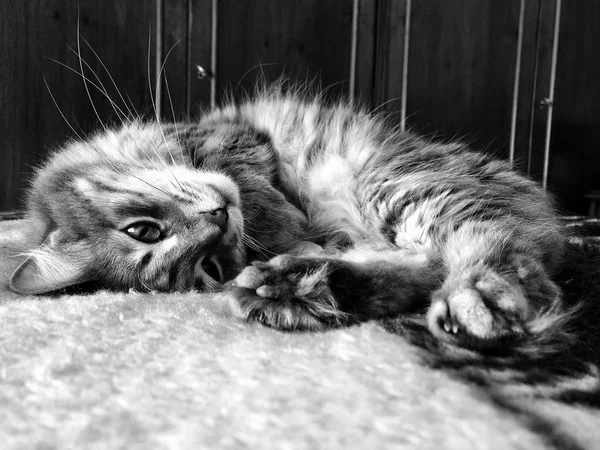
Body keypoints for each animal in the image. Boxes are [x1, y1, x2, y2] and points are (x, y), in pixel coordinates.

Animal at [9, 83, 572, 352]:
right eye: (210, 269)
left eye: (144, 230)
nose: (220, 219)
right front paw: (295, 242)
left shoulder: (228, 138)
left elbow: (254, 189)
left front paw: (284, 223)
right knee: (427, 266)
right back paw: (300, 286)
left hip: (399, 186)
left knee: (491, 252)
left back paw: (475, 300)